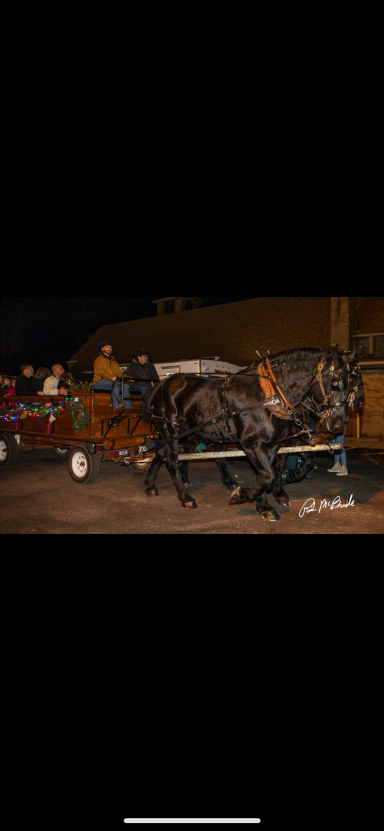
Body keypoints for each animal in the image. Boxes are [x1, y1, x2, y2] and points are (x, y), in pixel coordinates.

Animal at [143, 348, 354, 524]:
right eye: (336, 382)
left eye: (351, 384)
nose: (338, 423)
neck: (270, 395)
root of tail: (160, 385)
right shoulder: (251, 444)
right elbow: (268, 476)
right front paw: (242, 495)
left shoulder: (273, 445)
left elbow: (269, 474)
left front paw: (265, 505)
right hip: (172, 430)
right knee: (172, 460)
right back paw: (185, 497)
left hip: (185, 432)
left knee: (161, 454)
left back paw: (150, 485)